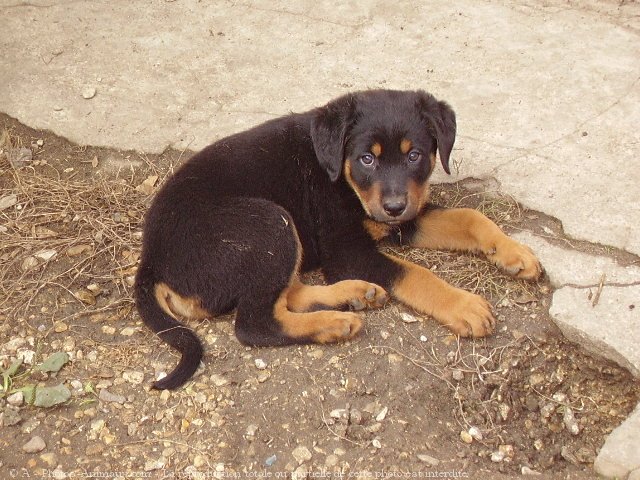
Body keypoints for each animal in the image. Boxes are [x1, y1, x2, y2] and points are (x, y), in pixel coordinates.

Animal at [135, 90, 540, 390]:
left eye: (414, 155)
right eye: (366, 160)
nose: (394, 206)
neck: (341, 175)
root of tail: (150, 260)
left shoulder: (406, 217)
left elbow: (470, 216)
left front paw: (515, 253)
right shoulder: (348, 252)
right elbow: (415, 274)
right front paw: (463, 305)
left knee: (286, 295)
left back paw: (354, 295)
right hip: (269, 222)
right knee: (255, 323)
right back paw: (333, 323)